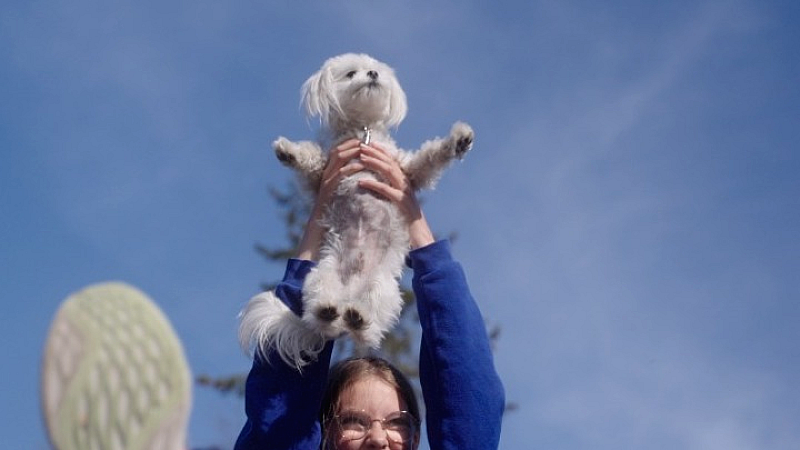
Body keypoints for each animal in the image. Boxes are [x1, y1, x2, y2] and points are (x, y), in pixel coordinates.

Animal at [238, 53, 476, 370]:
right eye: (351, 73)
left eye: (374, 70)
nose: (373, 74)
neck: (364, 132)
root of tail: (350, 294)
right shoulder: (322, 175)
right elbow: (310, 159)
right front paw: (288, 151)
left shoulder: (406, 171)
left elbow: (430, 156)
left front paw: (459, 140)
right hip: (320, 276)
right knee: (322, 317)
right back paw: (329, 311)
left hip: (384, 287)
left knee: (368, 329)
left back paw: (358, 318)